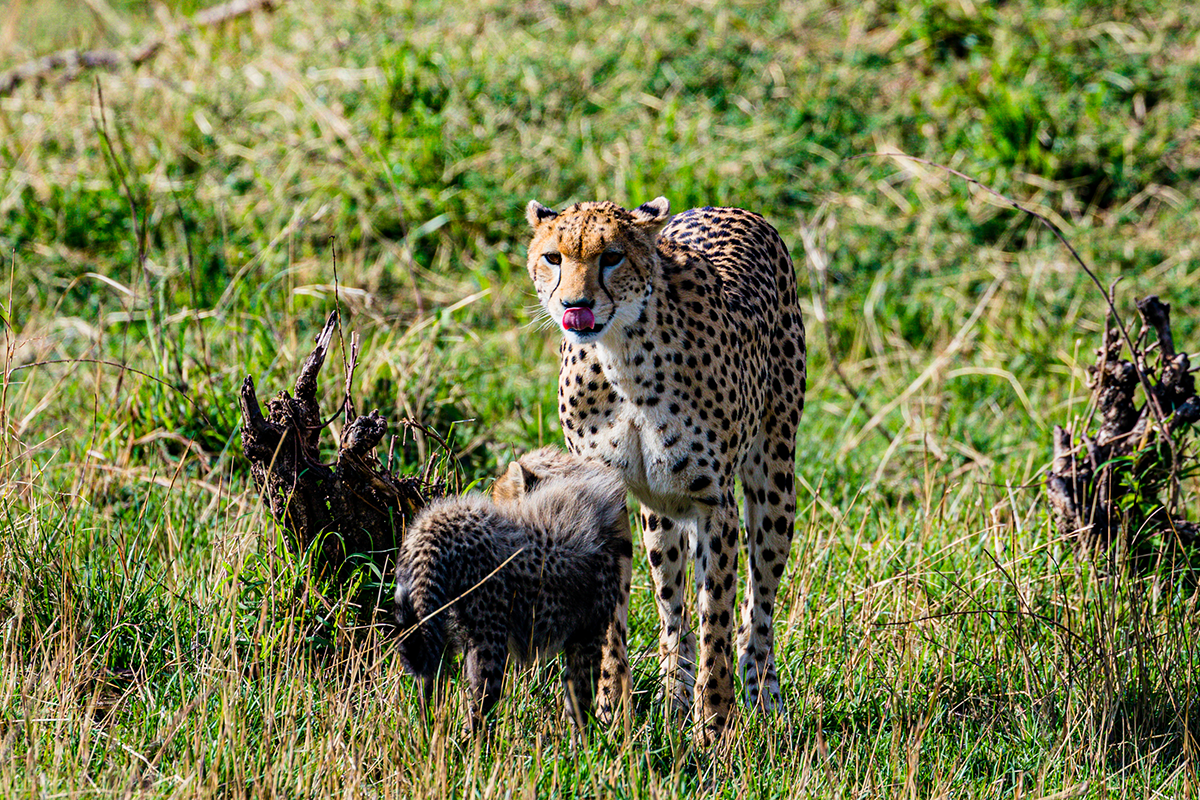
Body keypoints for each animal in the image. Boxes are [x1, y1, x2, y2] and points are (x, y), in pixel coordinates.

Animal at [393, 449, 631, 733]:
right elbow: (580, 701)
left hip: (434, 626)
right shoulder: (587, 634)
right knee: (477, 708)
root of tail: (439, 523)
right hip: (489, 642)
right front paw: (584, 742)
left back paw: (428, 735)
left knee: (429, 684)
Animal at [524, 197, 806, 745]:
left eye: (611, 256)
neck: (623, 359)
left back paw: (763, 701)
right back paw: (673, 697)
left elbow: (718, 617)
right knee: (673, 611)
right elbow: (615, 619)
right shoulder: (606, 495)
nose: (574, 304)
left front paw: (713, 728)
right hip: (661, 516)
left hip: (774, 482)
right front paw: (611, 717)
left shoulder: (715, 503)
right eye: (553, 257)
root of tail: (726, 205)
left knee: (758, 609)